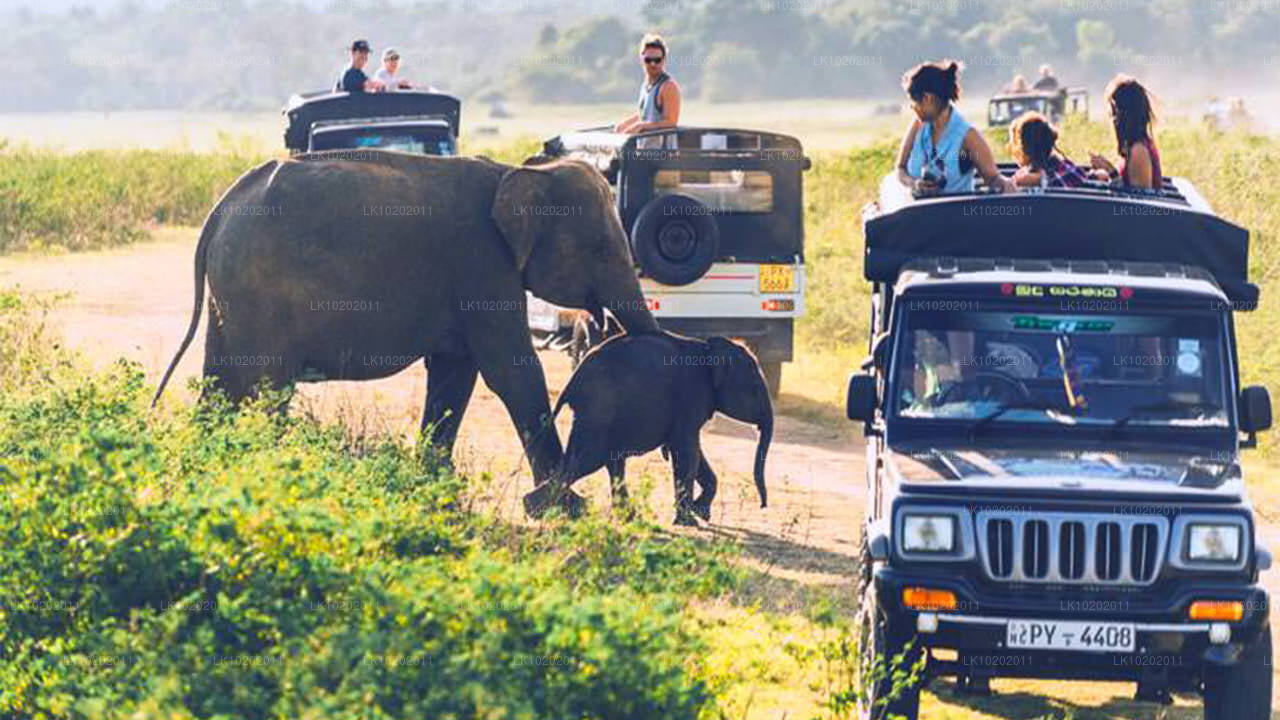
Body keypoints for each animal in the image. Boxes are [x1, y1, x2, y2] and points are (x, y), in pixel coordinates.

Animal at [152, 148, 660, 489]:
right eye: (600, 248)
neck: (518, 171)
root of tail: (220, 210)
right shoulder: (482, 265)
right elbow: (511, 370)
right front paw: (562, 506)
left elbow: (455, 371)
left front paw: (437, 486)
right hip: (261, 293)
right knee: (268, 387)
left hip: (231, 296)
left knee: (220, 382)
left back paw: (209, 466)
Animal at [529, 330, 768, 520]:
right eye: (755, 389)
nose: (763, 505)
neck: (709, 349)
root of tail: (572, 381)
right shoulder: (691, 395)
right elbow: (687, 450)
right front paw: (689, 520)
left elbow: (689, 449)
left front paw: (701, 513)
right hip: (598, 412)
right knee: (586, 461)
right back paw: (536, 510)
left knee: (604, 461)